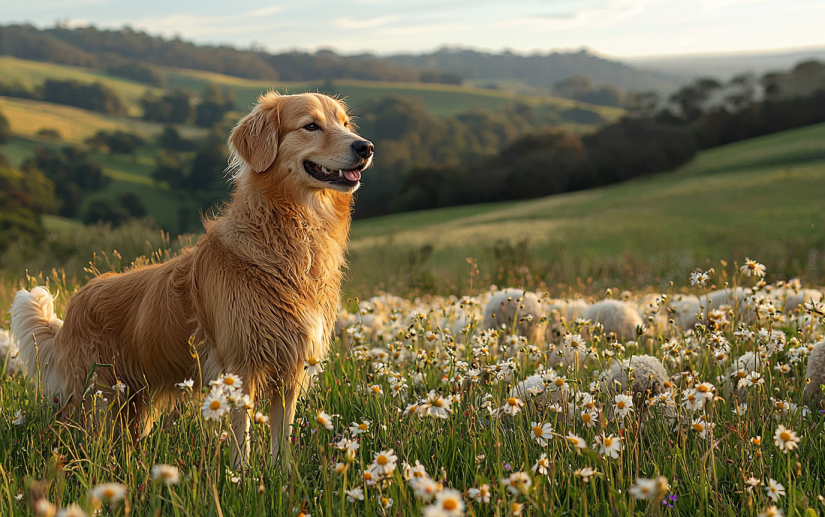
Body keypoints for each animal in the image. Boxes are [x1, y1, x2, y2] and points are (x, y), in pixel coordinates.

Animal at [8, 90, 374, 466]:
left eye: (345, 123)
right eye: (311, 126)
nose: (366, 147)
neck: (291, 233)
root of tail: (75, 303)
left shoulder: (291, 367)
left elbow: (281, 437)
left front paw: (281, 474)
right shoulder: (240, 366)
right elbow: (241, 436)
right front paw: (241, 475)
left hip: (133, 401)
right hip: (96, 397)